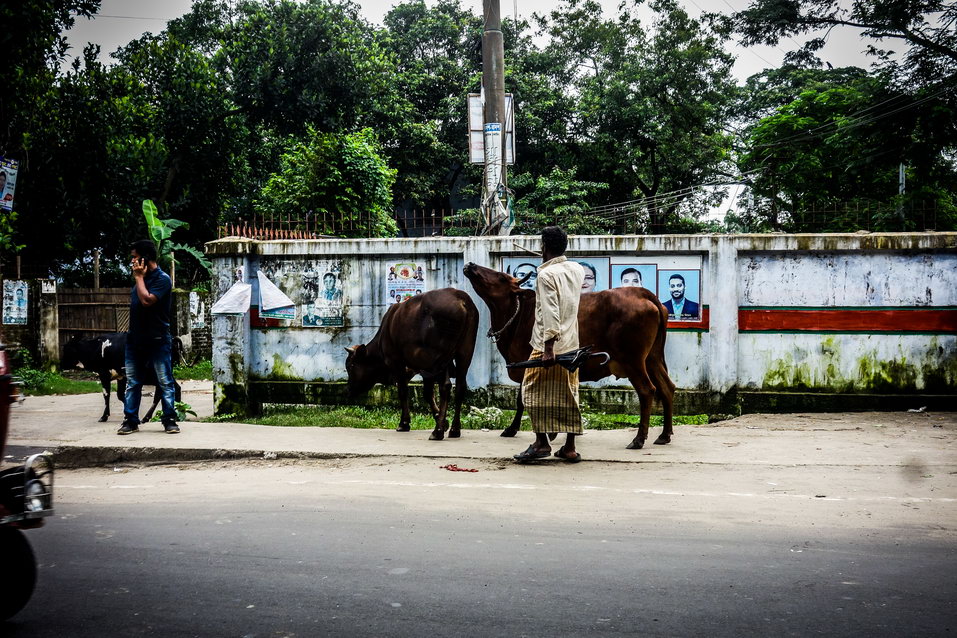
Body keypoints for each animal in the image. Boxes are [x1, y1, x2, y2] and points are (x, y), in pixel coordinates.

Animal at [344, 288, 478, 440]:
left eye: (351, 366)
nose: (348, 390)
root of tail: (460, 297)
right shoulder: (423, 368)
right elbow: (427, 394)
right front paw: (443, 421)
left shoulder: (397, 362)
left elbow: (403, 390)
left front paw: (404, 423)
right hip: (465, 353)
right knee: (460, 387)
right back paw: (455, 429)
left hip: (441, 357)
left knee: (446, 386)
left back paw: (437, 432)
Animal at [462, 262, 672, 452]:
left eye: (501, 277)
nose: (471, 265)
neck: (518, 313)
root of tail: (644, 294)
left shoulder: (528, 365)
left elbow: (524, 400)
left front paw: (522, 430)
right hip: (652, 359)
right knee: (667, 388)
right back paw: (664, 435)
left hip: (633, 361)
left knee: (647, 391)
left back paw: (639, 439)